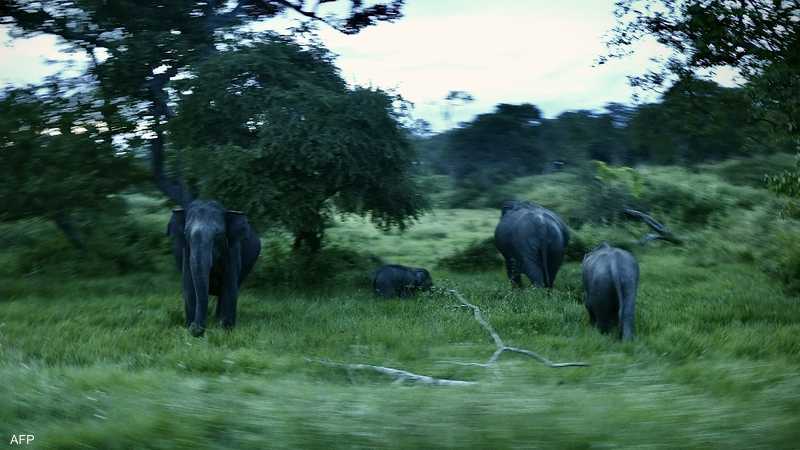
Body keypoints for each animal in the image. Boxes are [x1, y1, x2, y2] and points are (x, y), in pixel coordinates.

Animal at [166, 200, 262, 334]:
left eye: (218, 234)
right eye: (186, 233)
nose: (195, 328)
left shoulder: (233, 250)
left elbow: (230, 286)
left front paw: (226, 329)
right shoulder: (186, 251)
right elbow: (189, 286)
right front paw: (189, 325)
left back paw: (218, 319)